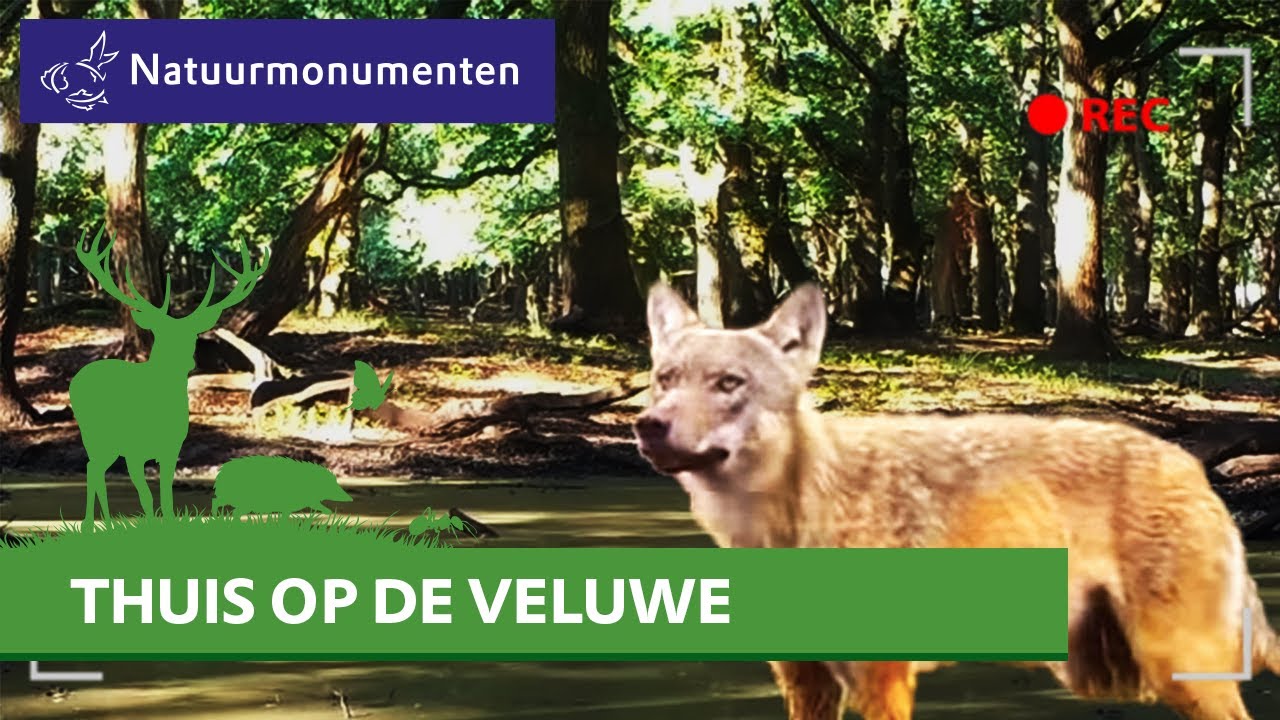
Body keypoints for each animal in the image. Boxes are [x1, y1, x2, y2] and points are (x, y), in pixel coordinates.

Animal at [633, 281, 1280, 720]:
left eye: (728, 384)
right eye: (666, 380)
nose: (648, 426)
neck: (787, 524)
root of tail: (1191, 464)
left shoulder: (881, 683)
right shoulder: (807, 684)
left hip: (1179, 674)